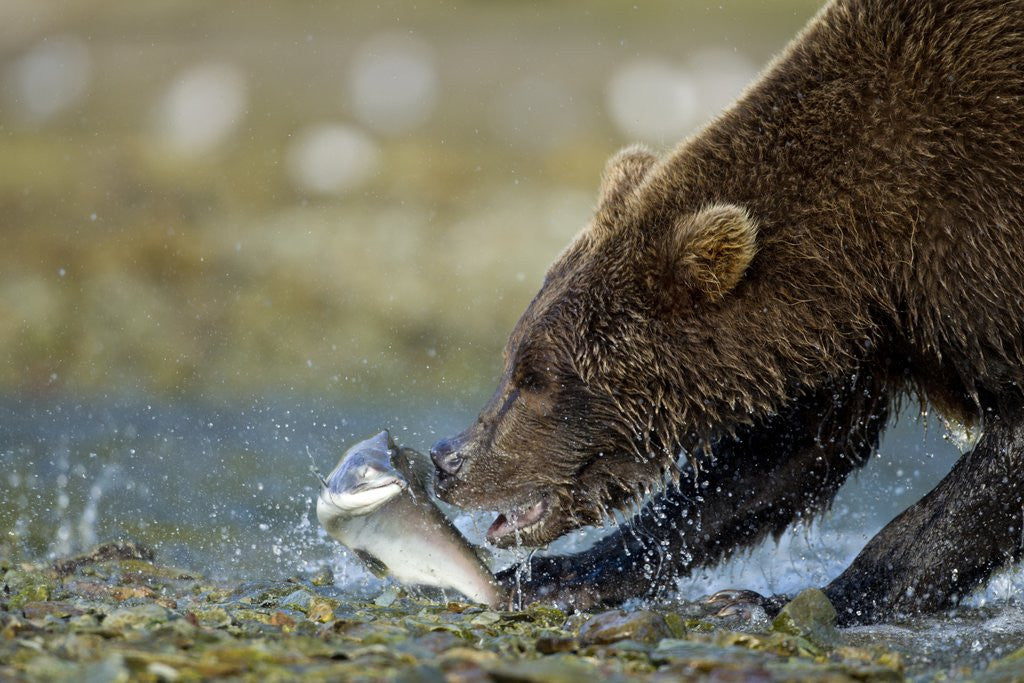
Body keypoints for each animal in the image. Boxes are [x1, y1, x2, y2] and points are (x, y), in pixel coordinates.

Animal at [430, 0, 1024, 625]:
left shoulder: (978, 247)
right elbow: (771, 461)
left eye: (536, 377)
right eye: (513, 360)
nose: (447, 460)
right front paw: (563, 575)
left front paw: (782, 599)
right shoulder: (851, 342)